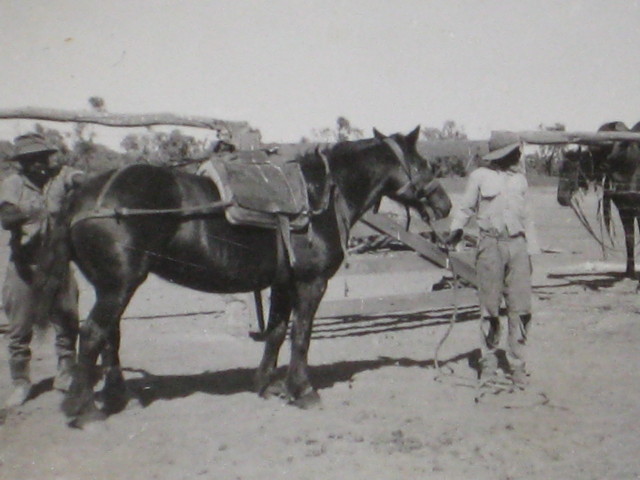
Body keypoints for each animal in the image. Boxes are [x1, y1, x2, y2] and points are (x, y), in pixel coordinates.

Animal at [35, 126, 452, 424]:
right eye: (424, 165)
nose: (445, 204)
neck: (321, 197)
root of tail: (83, 194)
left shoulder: (283, 283)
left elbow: (277, 332)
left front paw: (266, 385)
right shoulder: (310, 283)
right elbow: (301, 336)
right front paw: (302, 391)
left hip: (114, 286)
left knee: (109, 336)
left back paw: (117, 397)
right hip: (118, 286)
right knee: (93, 334)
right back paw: (84, 409)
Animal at [556, 120, 640, 278]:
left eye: (572, 168)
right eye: (560, 169)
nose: (561, 198)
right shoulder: (625, 210)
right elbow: (629, 239)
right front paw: (629, 272)